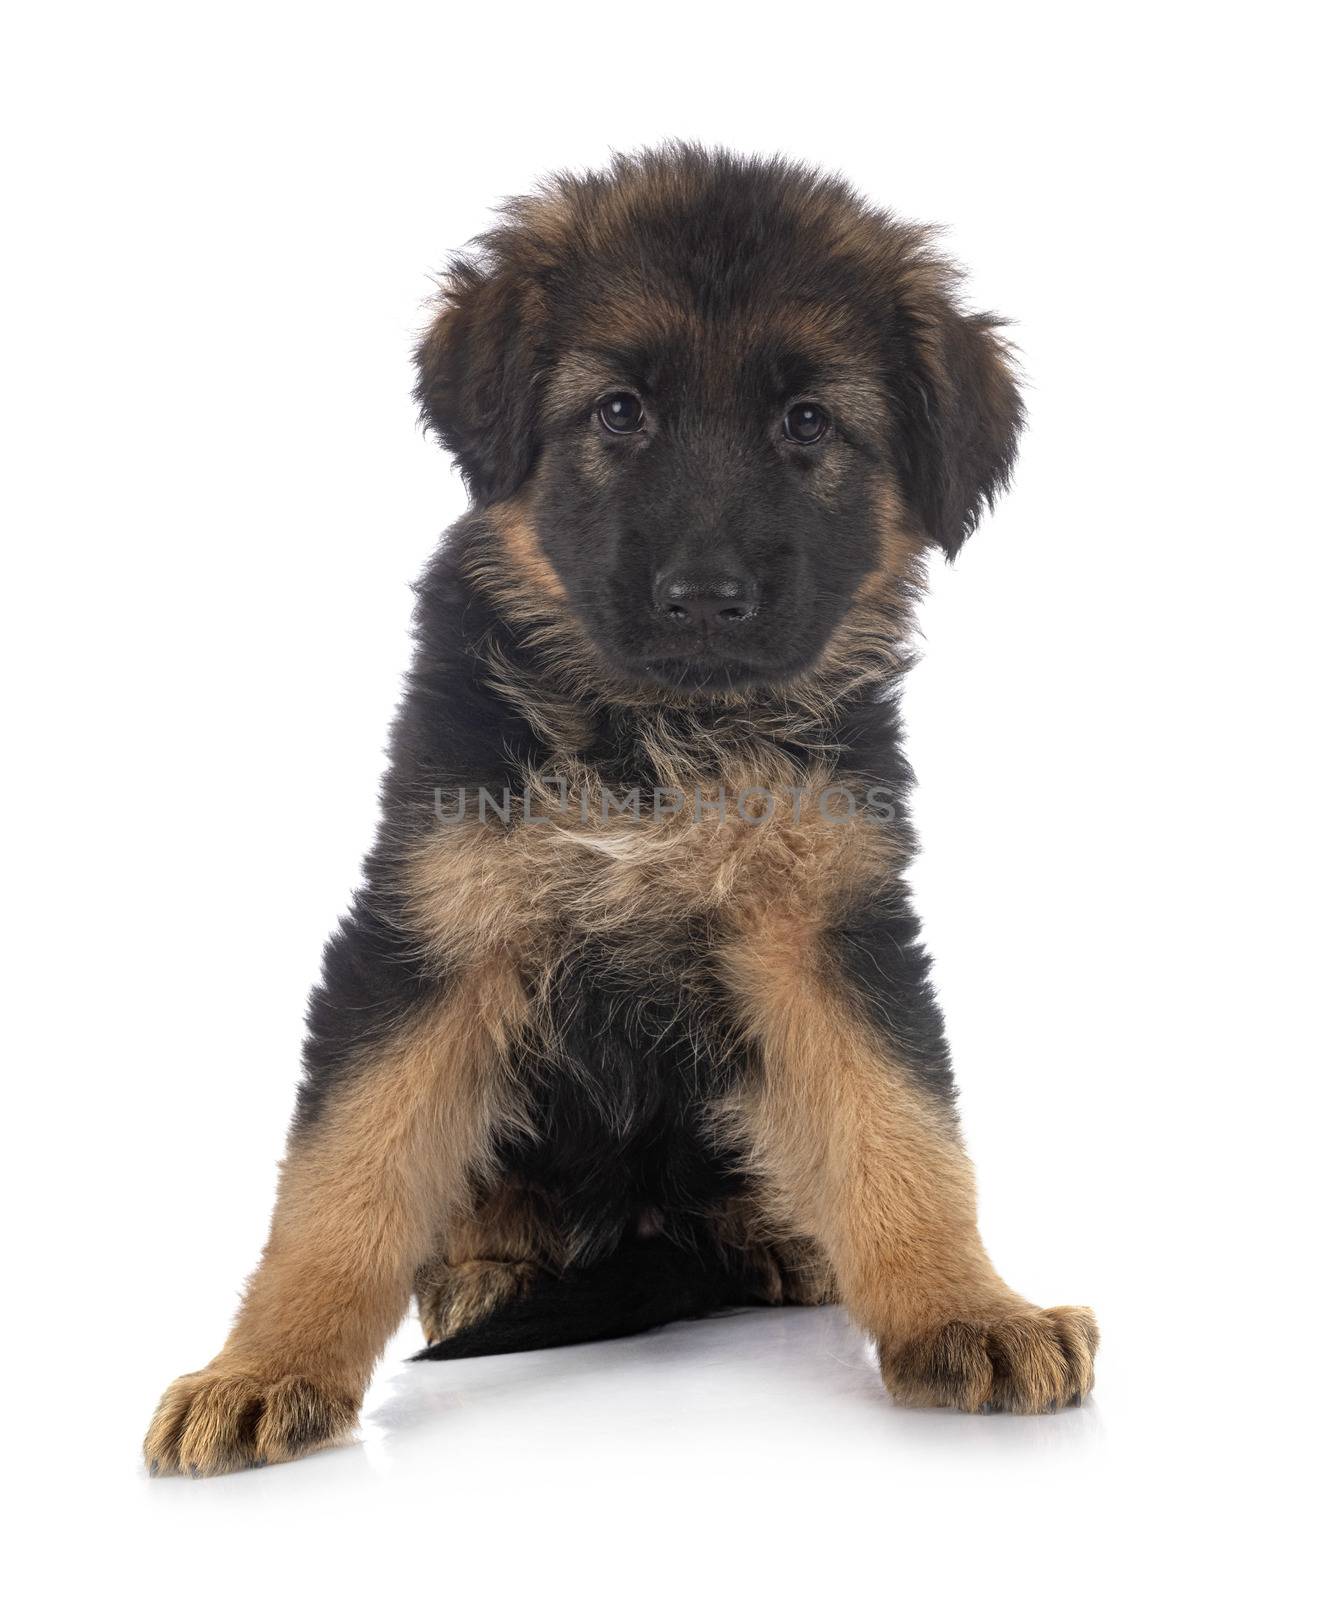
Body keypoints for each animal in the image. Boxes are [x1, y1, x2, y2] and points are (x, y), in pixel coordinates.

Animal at [143, 147, 1093, 1472]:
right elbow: (345, 1171)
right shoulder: (432, 925)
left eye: (809, 422)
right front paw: (265, 1367)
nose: (704, 598)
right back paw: (488, 1271)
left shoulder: (826, 925)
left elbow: (897, 1126)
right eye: (618, 411)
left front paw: (966, 1312)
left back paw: (785, 1248)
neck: (652, 742)